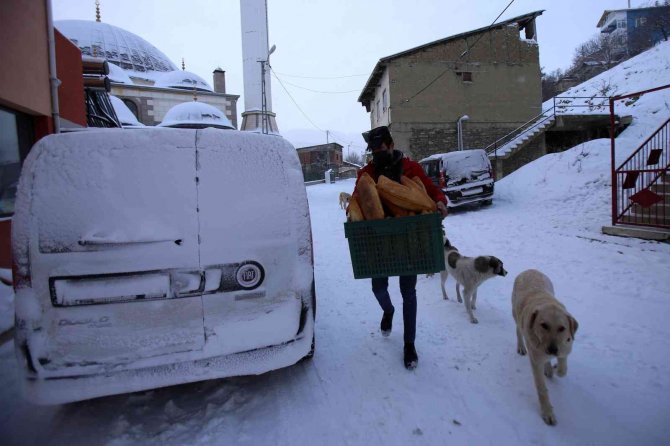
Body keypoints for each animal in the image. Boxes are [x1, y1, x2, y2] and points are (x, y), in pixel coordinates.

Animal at [512, 268, 580, 426]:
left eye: (562, 328)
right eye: (544, 325)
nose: (552, 350)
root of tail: (529, 269)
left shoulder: (566, 346)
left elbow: (562, 369)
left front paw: (554, 368)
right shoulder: (536, 359)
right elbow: (541, 389)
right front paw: (547, 412)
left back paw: (549, 367)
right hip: (516, 314)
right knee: (518, 330)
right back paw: (521, 347)